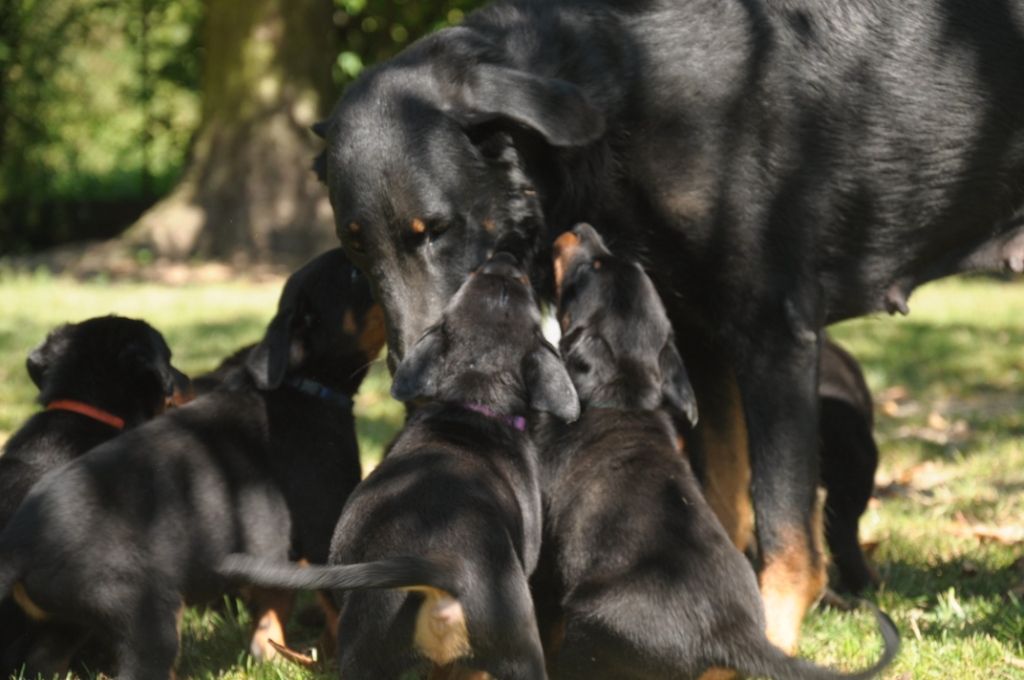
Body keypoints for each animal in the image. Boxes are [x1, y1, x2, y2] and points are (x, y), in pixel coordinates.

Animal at [0, 249, 385, 680]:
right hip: (144, 612)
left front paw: (274, 657)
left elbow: (273, 607)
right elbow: (339, 604)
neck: (303, 385)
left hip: (65, 622)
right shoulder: (323, 528)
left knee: (43, 659)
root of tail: (19, 545)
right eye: (353, 273)